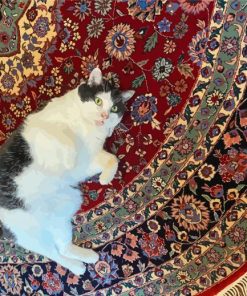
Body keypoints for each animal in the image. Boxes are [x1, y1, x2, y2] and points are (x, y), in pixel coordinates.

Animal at [0, 67, 135, 276]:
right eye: (98, 101)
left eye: (114, 109)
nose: (104, 116)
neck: (87, 128)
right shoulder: (41, 131)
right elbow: (65, 138)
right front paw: (68, 160)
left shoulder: (88, 161)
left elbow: (113, 159)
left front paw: (105, 178)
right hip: (31, 234)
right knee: (53, 254)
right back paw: (77, 267)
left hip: (63, 214)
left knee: (62, 248)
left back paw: (86, 260)